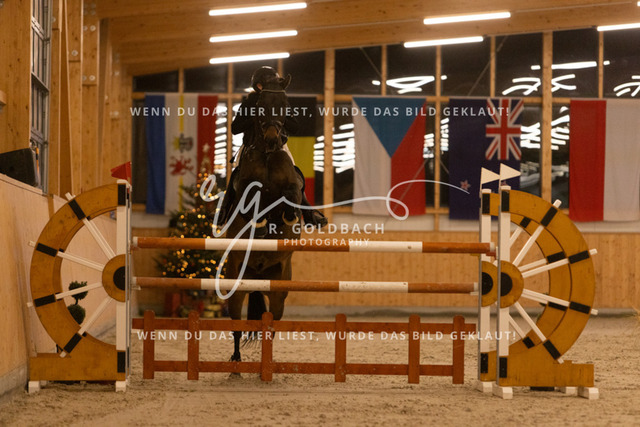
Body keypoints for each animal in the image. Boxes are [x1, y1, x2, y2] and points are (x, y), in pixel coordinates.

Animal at [223, 74, 303, 364]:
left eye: (285, 105)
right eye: (259, 106)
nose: (271, 139)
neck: (267, 155)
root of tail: (257, 276)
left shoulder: (291, 189)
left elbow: (289, 201)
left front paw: (281, 220)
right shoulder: (247, 192)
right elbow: (253, 201)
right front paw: (261, 223)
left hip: (279, 292)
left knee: (272, 324)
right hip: (236, 286)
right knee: (236, 326)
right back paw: (236, 359)